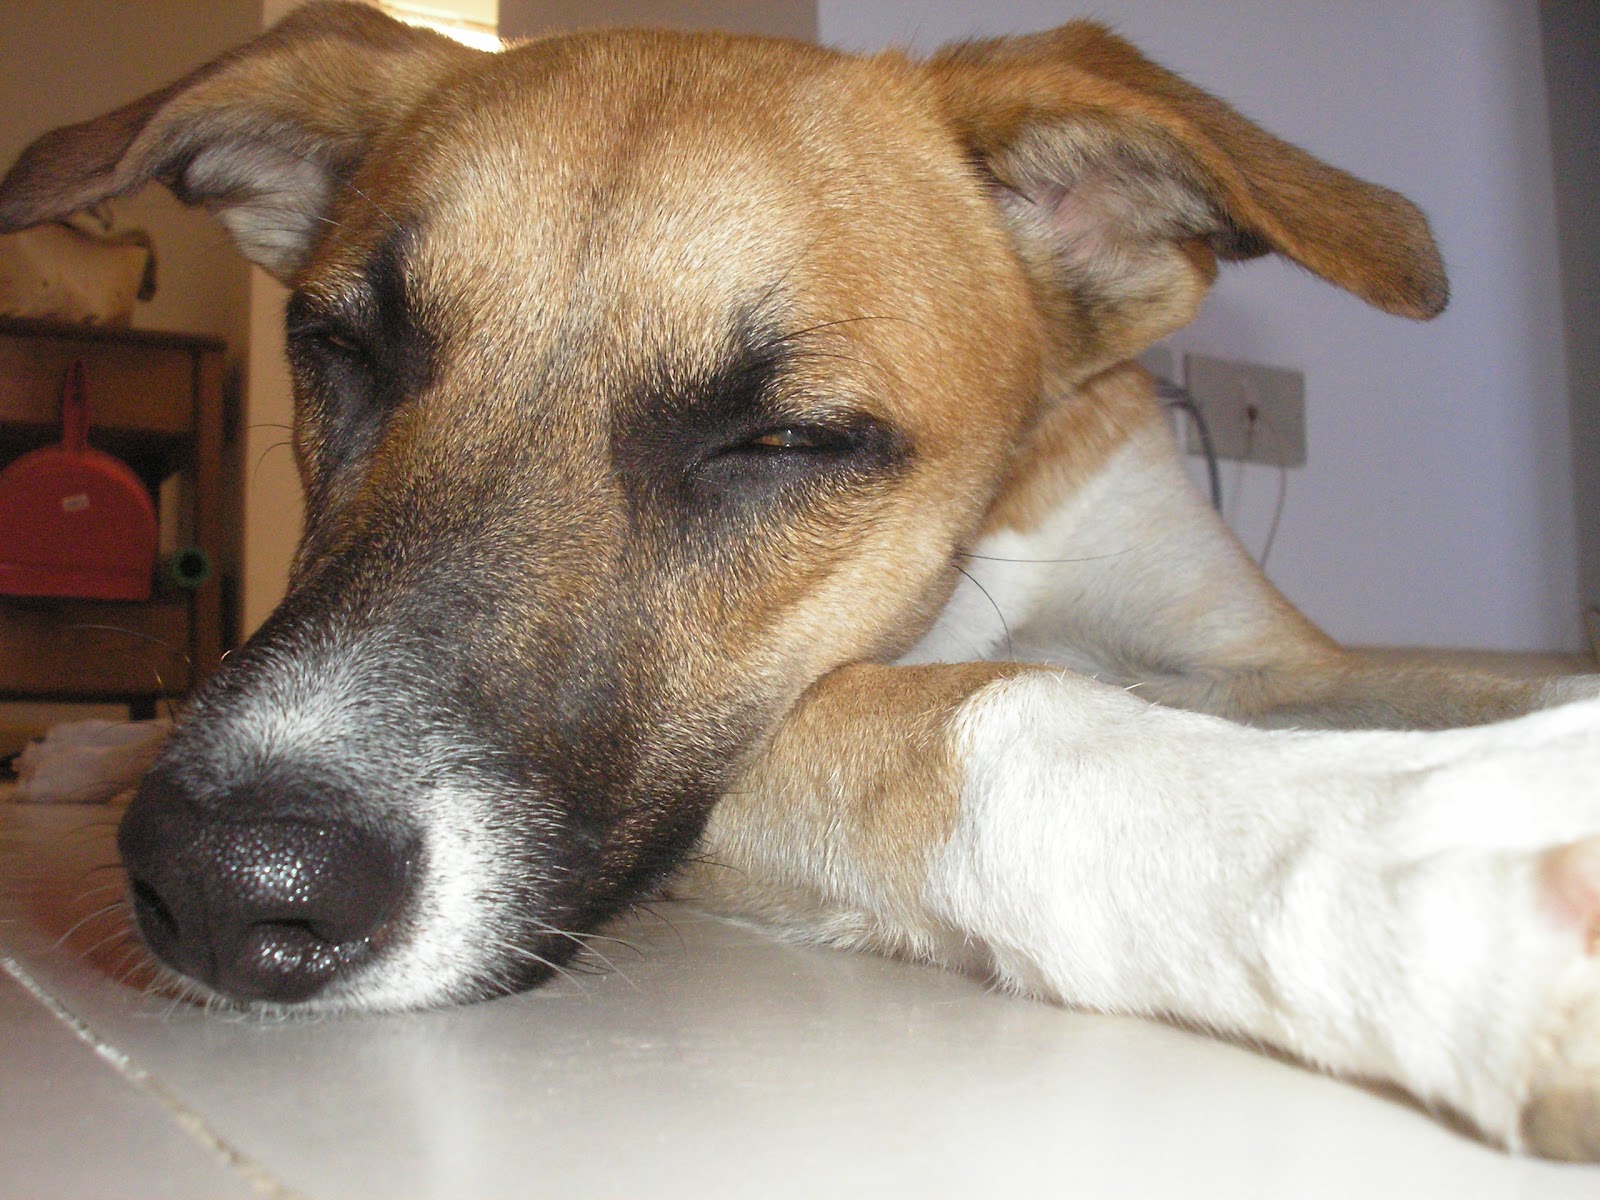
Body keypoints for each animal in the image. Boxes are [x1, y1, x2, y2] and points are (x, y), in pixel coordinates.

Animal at [3, 2, 1598, 1160]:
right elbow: (972, 720)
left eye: (782, 439)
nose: (225, 885)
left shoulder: (1264, 664)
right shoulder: (751, 750)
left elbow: (1485, 682)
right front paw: (1435, 865)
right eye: (343, 350)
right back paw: (73, 753)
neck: (995, 541)